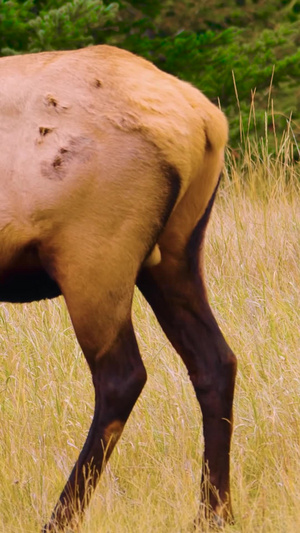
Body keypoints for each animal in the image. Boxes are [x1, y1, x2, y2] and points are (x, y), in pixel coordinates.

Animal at [0, 46, 237, 532]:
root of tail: (206, 120)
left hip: (92, 257)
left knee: (121, 377)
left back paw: (60, 518)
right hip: (176, 254)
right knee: (215, 362)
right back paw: (211, 514)